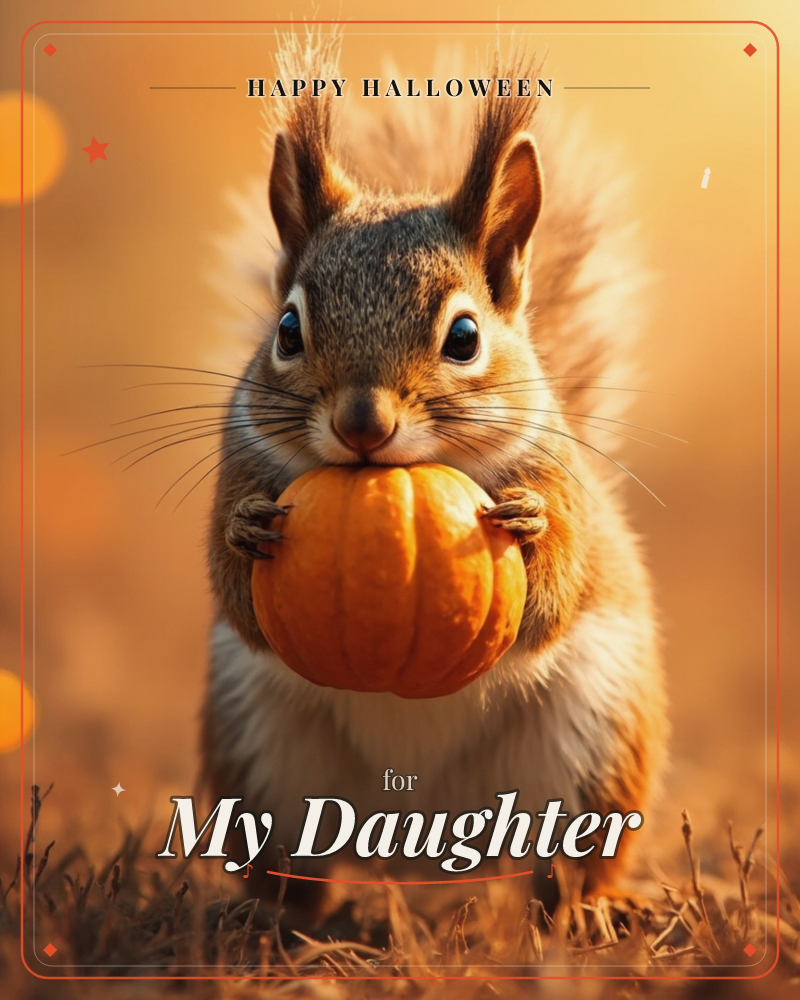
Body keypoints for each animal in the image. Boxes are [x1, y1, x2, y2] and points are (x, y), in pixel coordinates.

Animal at [199, 32, 667, 911]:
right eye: (287, 330)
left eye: (465, 337)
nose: (363, 425)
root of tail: (420, 844)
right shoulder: (236, 463)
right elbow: (234, 590)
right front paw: (248, 532)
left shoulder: (561, 479)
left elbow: (556, 590)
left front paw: (528, 525)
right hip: (261, 757)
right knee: (293, 869)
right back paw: (266, 917)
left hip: (598, 742)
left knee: (568, 867)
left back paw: (588, 912)